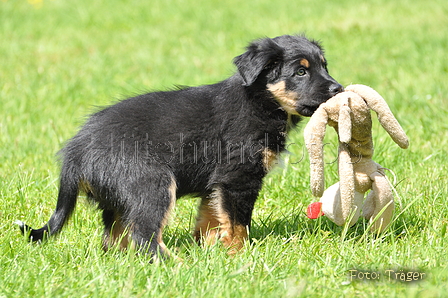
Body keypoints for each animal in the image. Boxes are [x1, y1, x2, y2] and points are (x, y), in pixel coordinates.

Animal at [15, 34, 342, 258]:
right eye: (301, 72)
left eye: (324, 66)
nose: (338, 88)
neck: (262, 101)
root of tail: (75, 150)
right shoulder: (237, 178)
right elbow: (238, 223)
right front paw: (238, 255)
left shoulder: (216, 184)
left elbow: (210, 219)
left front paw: (211, 252)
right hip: (152, 184)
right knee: (144, 236)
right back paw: (174, 265)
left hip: (120, 195)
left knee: (116, 236)